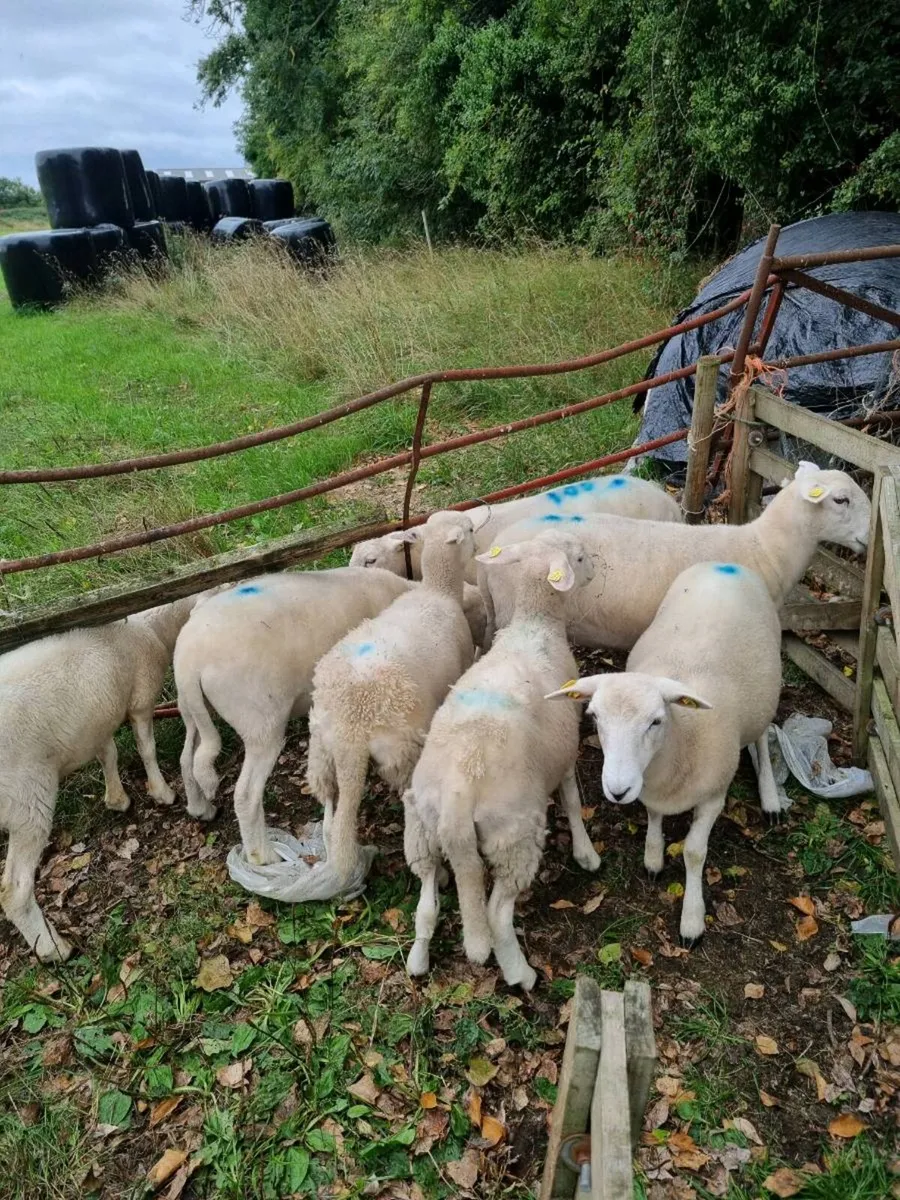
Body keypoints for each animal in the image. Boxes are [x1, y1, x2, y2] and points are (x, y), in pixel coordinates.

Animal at [0, 596, 203, 962]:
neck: (151, 627)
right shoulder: (140, 701)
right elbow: (146, 748)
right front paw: (162, 792)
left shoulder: (100, 720)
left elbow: (109, 754)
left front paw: (117, 799)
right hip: (27, 797)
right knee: (15, 891)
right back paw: (54, 949)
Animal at [175, 567, 414, 867]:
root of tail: (189, 662)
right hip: (260, 722)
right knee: (245, 795)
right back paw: (264, 856)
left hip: (192, 709)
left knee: (187, 757)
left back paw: (200, 808)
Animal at [306, 511, 478, 888]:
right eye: (471, 529)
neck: (438, 590)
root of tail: (351, 728)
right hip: (402, 754)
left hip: (320, 748)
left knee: (329, 801)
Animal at [402, 532, 601, 991]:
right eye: (580, 558)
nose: (595, 569)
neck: (535, 625)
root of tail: (459, 795)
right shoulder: (566, 750)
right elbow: (571, 800)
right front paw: (585, 851)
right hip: (514, 835)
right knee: (495, 915)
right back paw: (519, 972)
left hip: (421, 826)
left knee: (426, 901)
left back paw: (418, 960)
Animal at [547, 560, 783, 945]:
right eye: (594, 716)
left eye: (656, 720)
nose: (618, 790)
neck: (681, 738)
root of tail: (723, 563)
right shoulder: (652, 790)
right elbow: (654, 816)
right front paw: (654, 857)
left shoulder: (714, 796)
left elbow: (694, 852)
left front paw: (692, 918)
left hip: (766, 693)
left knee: (762, 735)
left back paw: (771, 797)